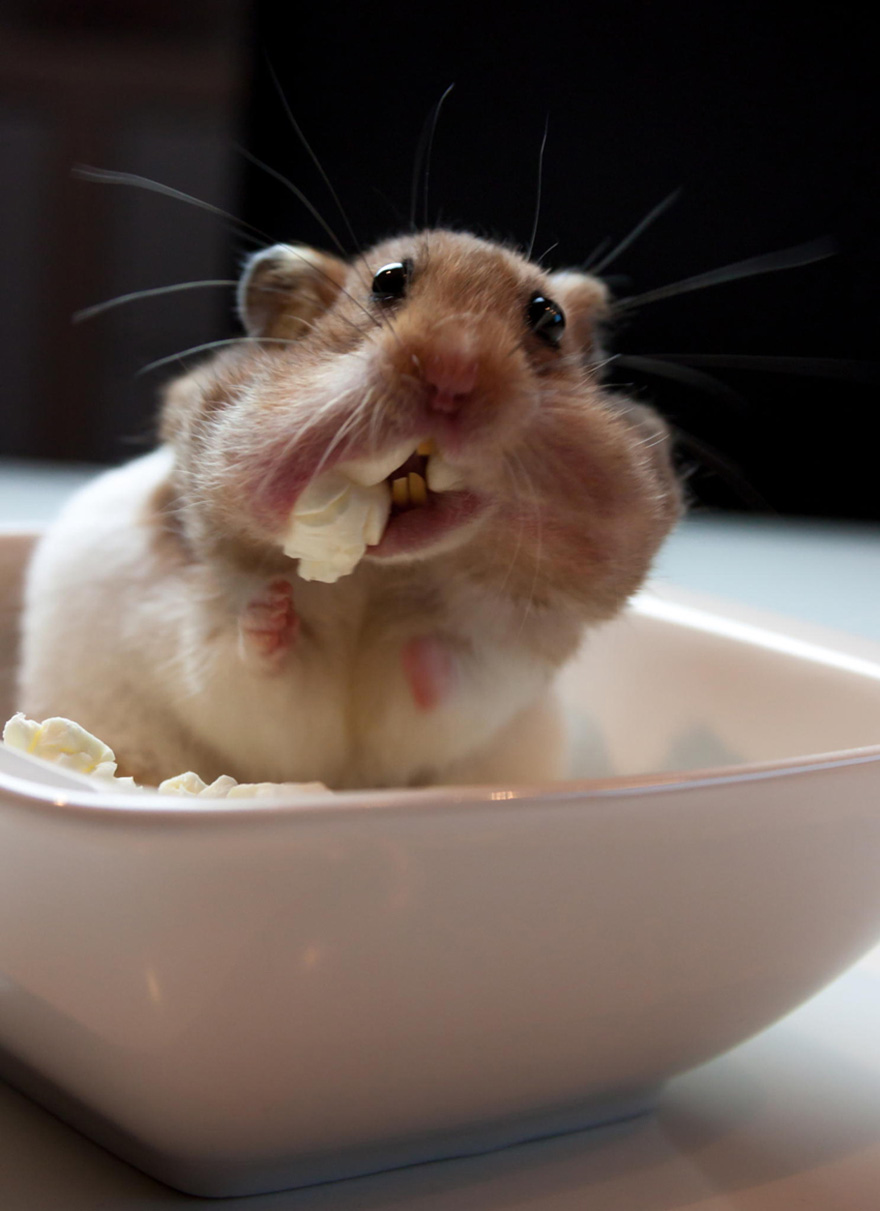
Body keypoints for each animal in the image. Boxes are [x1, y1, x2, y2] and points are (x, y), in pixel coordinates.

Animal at [18, 229, 681, 789]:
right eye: (387, 281)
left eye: (550, 317)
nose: (454, 372)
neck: (379, 575)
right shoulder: (200, 648)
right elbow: (244, 672)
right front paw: (272, 611)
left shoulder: (507, 669)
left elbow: (455, 684)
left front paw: (426, 648)